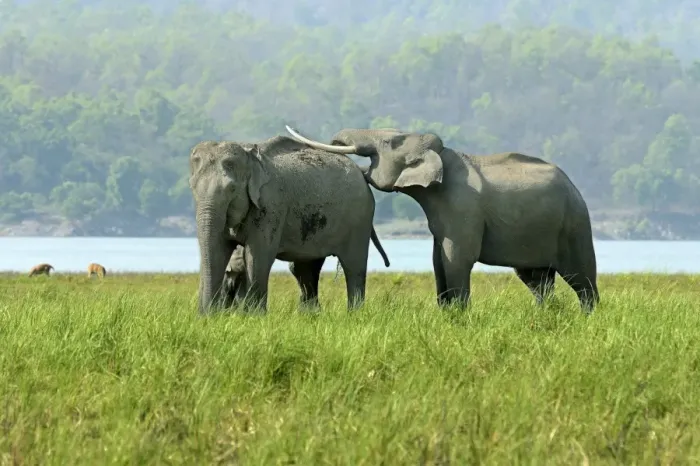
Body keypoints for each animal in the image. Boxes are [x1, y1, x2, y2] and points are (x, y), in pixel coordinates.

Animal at [284, 125, 600, 313]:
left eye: (389, 141)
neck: (441, 154)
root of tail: (575, 188)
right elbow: (438, 261)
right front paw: (446, 314)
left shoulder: (462, 209)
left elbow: (456, 258)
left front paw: (459, 315)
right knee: (536, 280)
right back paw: (544, 313)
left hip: (574, 224)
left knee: (580, 276)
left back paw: (587, 316)